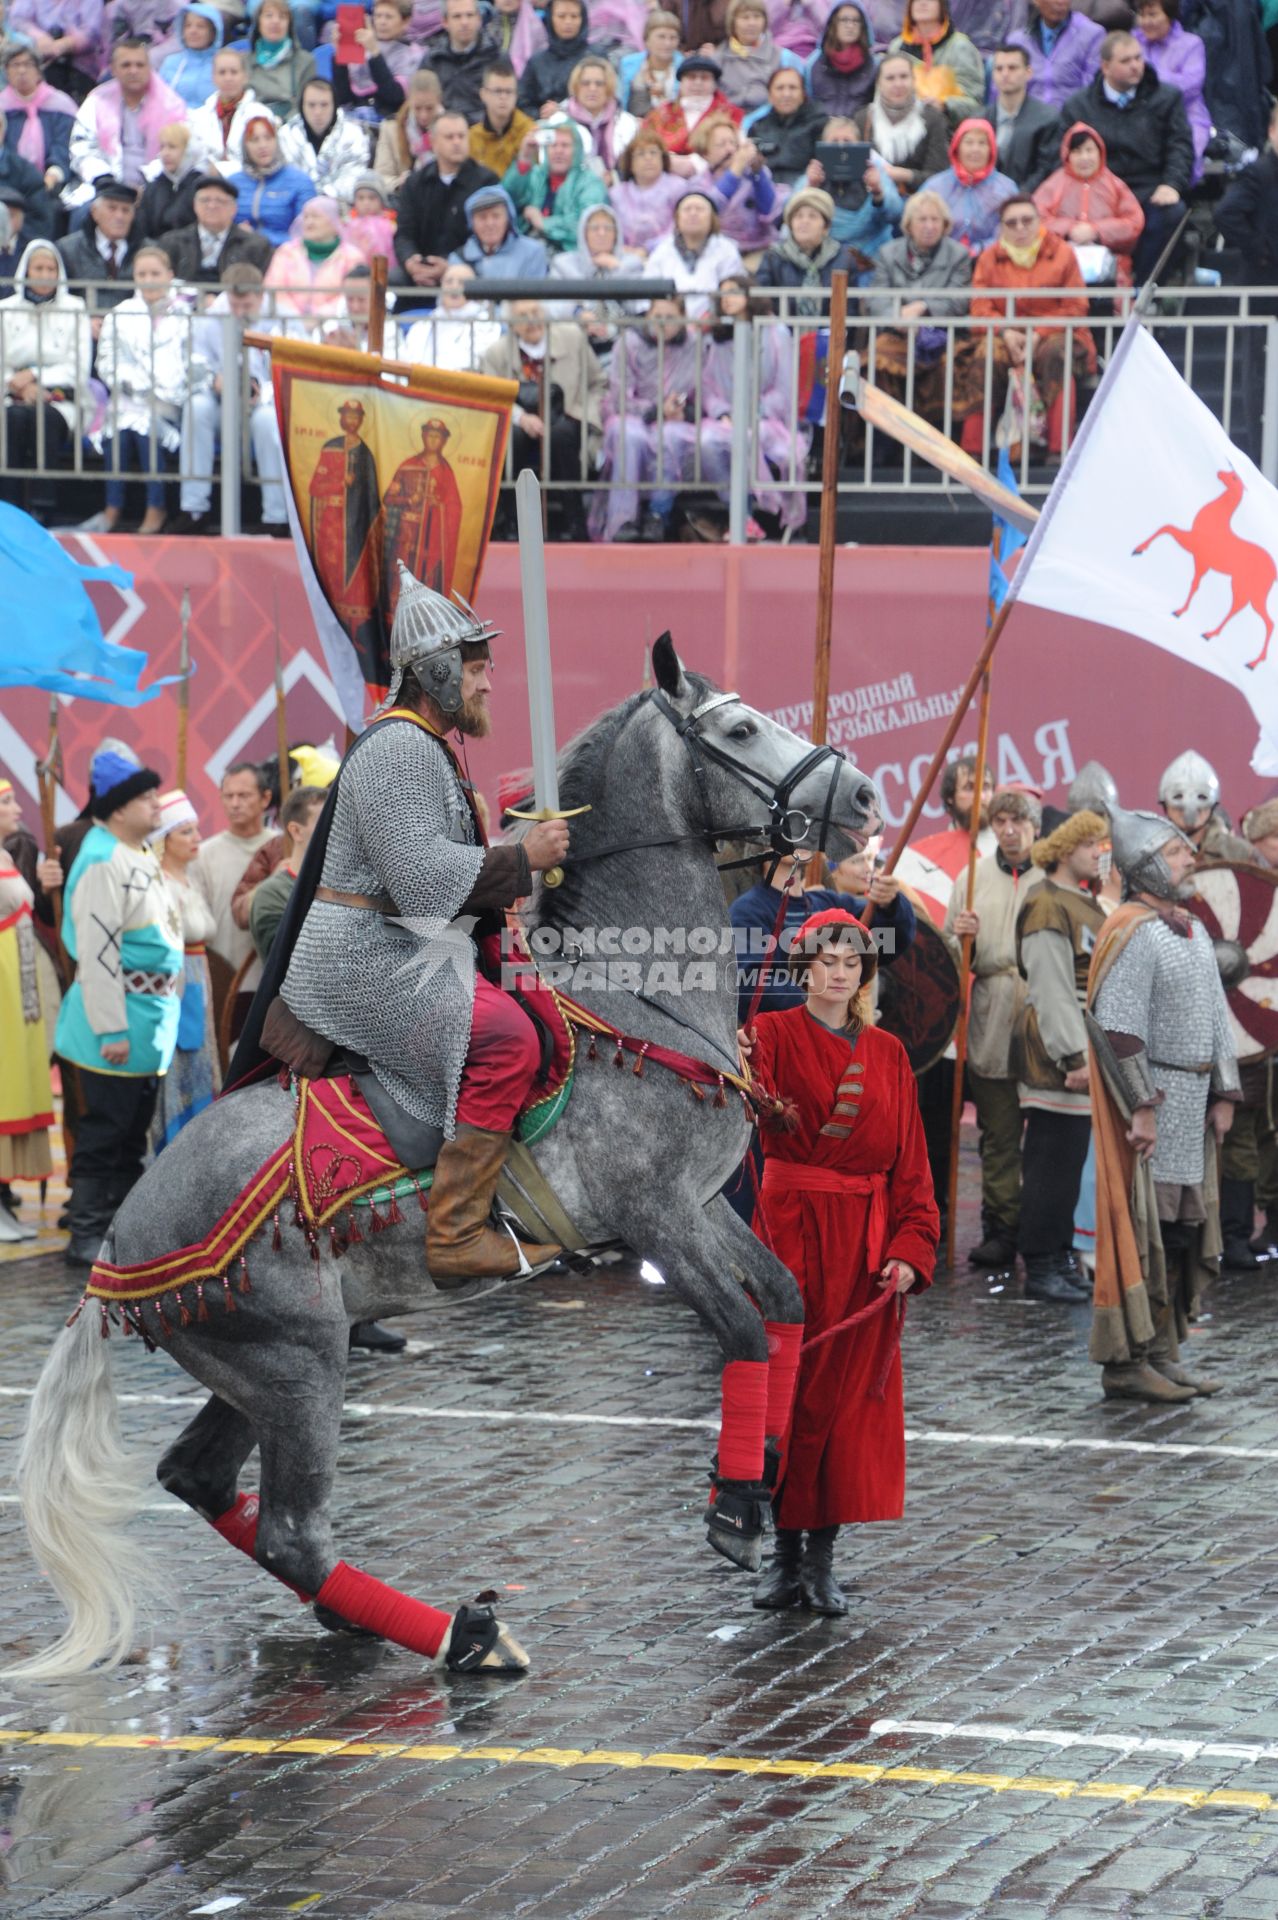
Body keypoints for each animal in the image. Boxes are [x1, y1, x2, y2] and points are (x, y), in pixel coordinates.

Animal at [9, 633, 882, 1681]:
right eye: (743, 730)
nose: (866, 796)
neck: (637, 1003)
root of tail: (116, 1252)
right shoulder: (656, 1218)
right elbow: (747, 1332)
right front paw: (737, 1508)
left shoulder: (707, 1206)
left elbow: (787, 1302)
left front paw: (772, 1465)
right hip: (299, 1365)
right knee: (291, 1530)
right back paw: (462, 1633)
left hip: (264, 1363)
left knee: (202, 1480)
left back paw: (381, 1617)